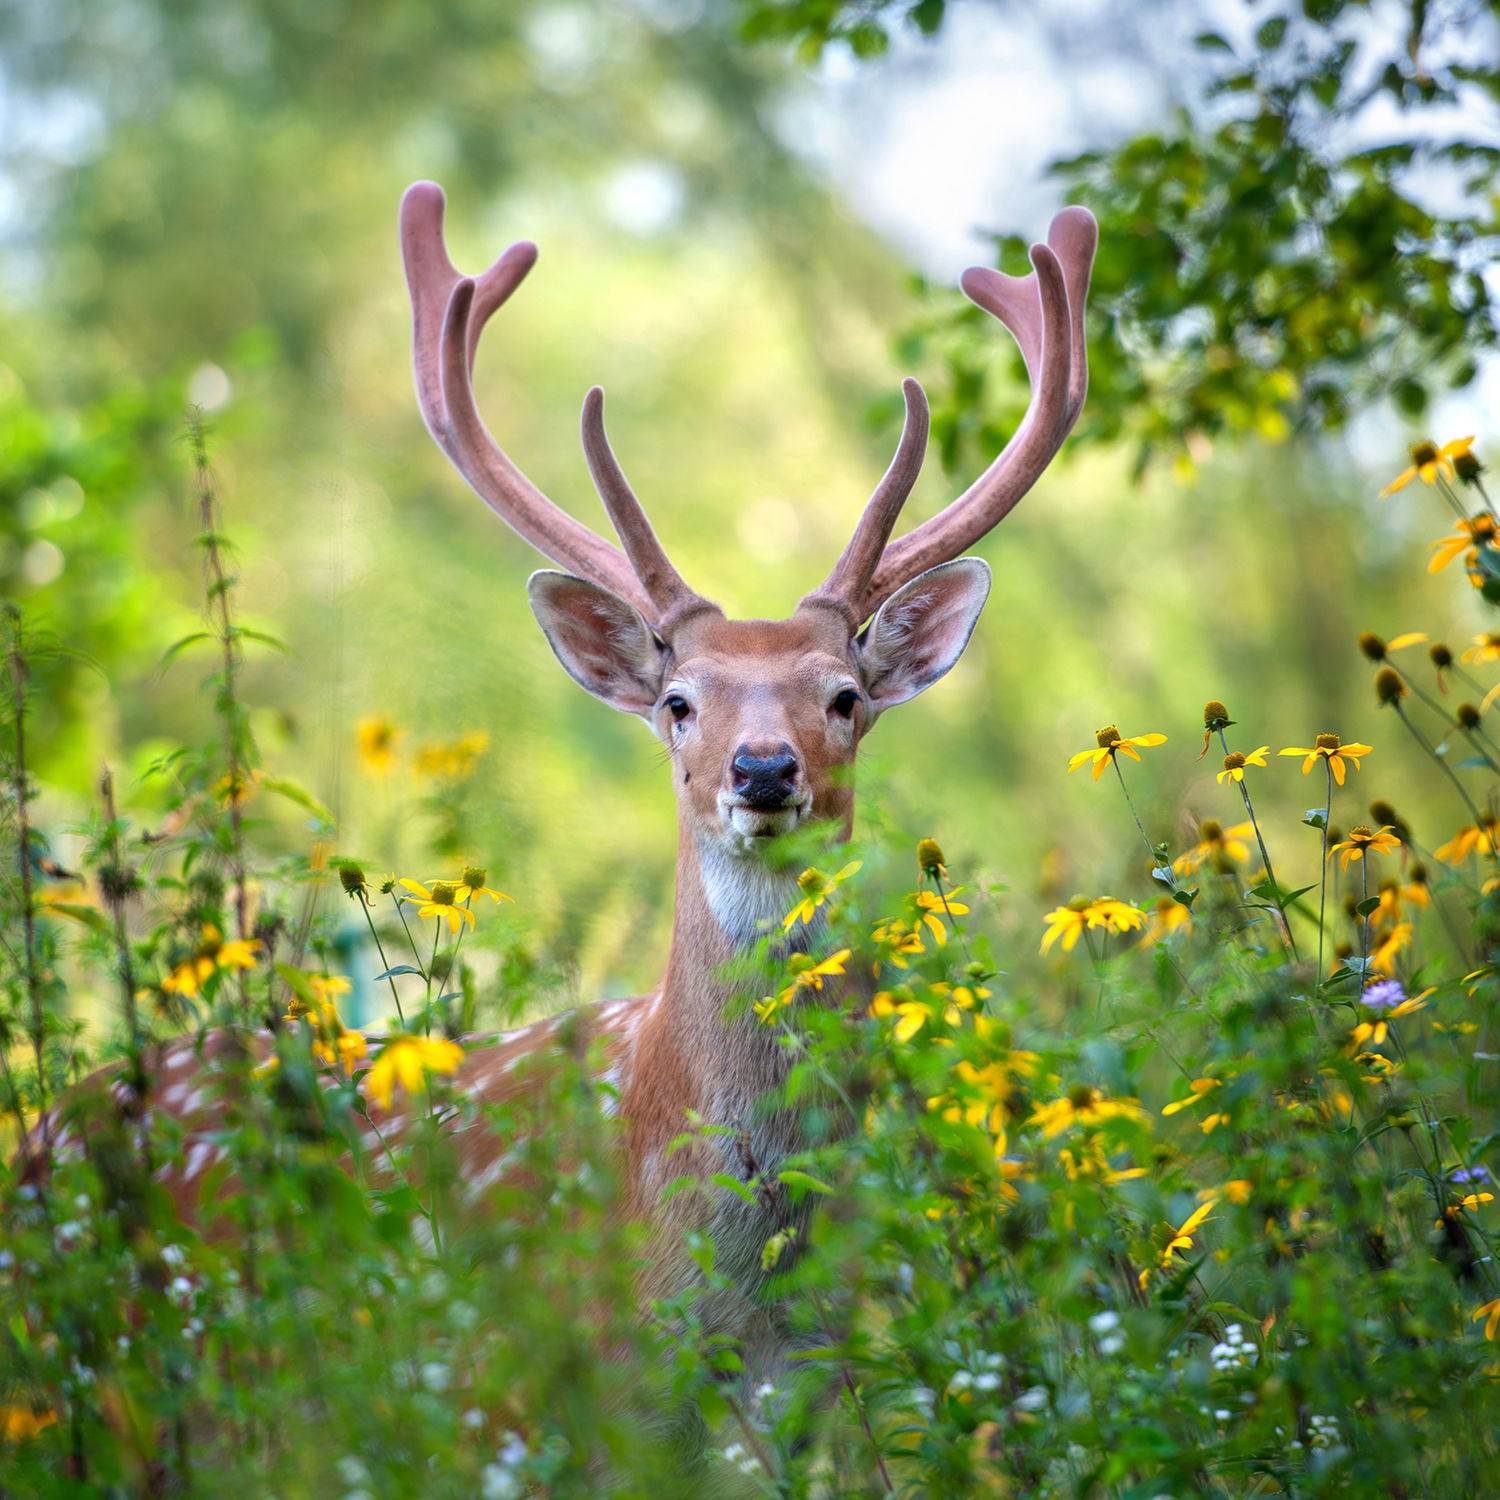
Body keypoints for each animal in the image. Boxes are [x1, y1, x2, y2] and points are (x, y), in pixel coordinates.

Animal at [17, 178, 1098, 1416]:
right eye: (678, 701)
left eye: (845, 696)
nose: (762, 770)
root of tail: (40, 1132)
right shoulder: (542, 1394)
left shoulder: (815, 1384)